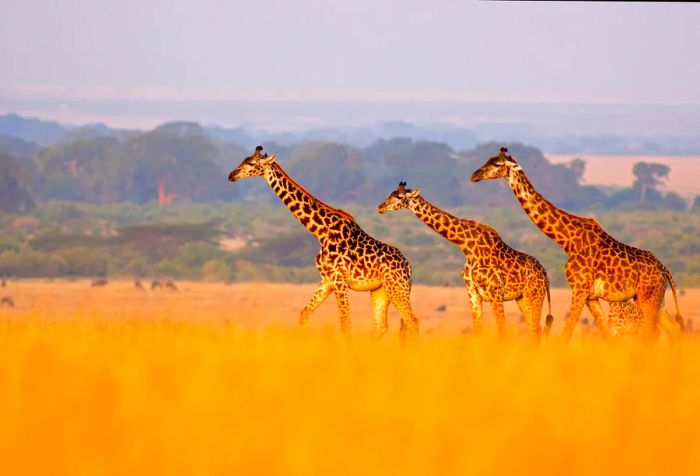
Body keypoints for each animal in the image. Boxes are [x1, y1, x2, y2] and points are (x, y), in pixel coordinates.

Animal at [227, 146, 418, 342]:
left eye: (251, 163)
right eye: (245, 159)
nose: (231, 175)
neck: (320, 232)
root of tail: (409, 267)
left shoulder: (339, 280)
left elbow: (345, 324)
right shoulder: (327, 280)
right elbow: (304, 314)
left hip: (397, 288)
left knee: (412, 321)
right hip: (381, 291)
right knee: (381, 326)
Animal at [378, 181, 552, 338]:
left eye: (399, 196)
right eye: (390, 193)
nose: (380, 207)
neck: (467, 247)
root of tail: (545, 275)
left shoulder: (495, 294)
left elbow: (502, 331)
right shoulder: (473, 293)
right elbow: (477, 331)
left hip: (534, 296)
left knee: (535, 330)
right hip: (522, 299)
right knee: (535, 329)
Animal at [470, 147, 684, 340]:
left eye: (497, 164)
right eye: (488, 159)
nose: (474, 175)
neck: (567, 240)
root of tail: (664, 269)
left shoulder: (579, 289)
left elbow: (567, 333)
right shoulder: (591, 296)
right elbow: (605, 334)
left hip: (647, 296)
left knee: (652, 333)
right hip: (654, 298)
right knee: (673, 329)